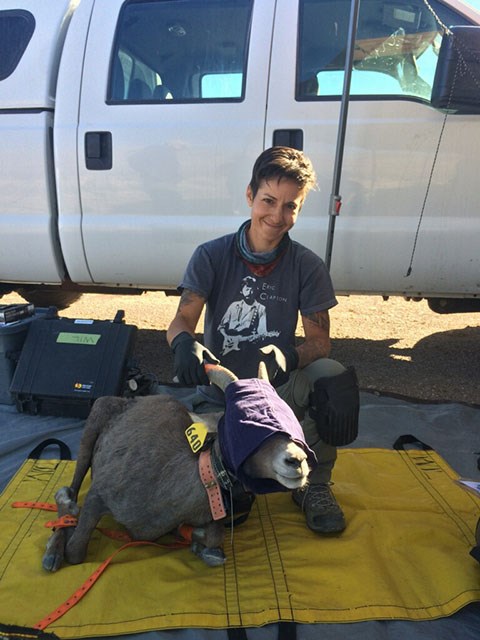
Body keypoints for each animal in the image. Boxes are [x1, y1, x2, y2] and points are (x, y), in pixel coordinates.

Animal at [42, 362, 316, 568]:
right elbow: (75, 552)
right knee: (73, 485)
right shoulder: (98, 496)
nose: (296, 461)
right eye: (241, 423)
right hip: (93, 425)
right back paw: (53, 552)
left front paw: (201, 546)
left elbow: (214, 537)